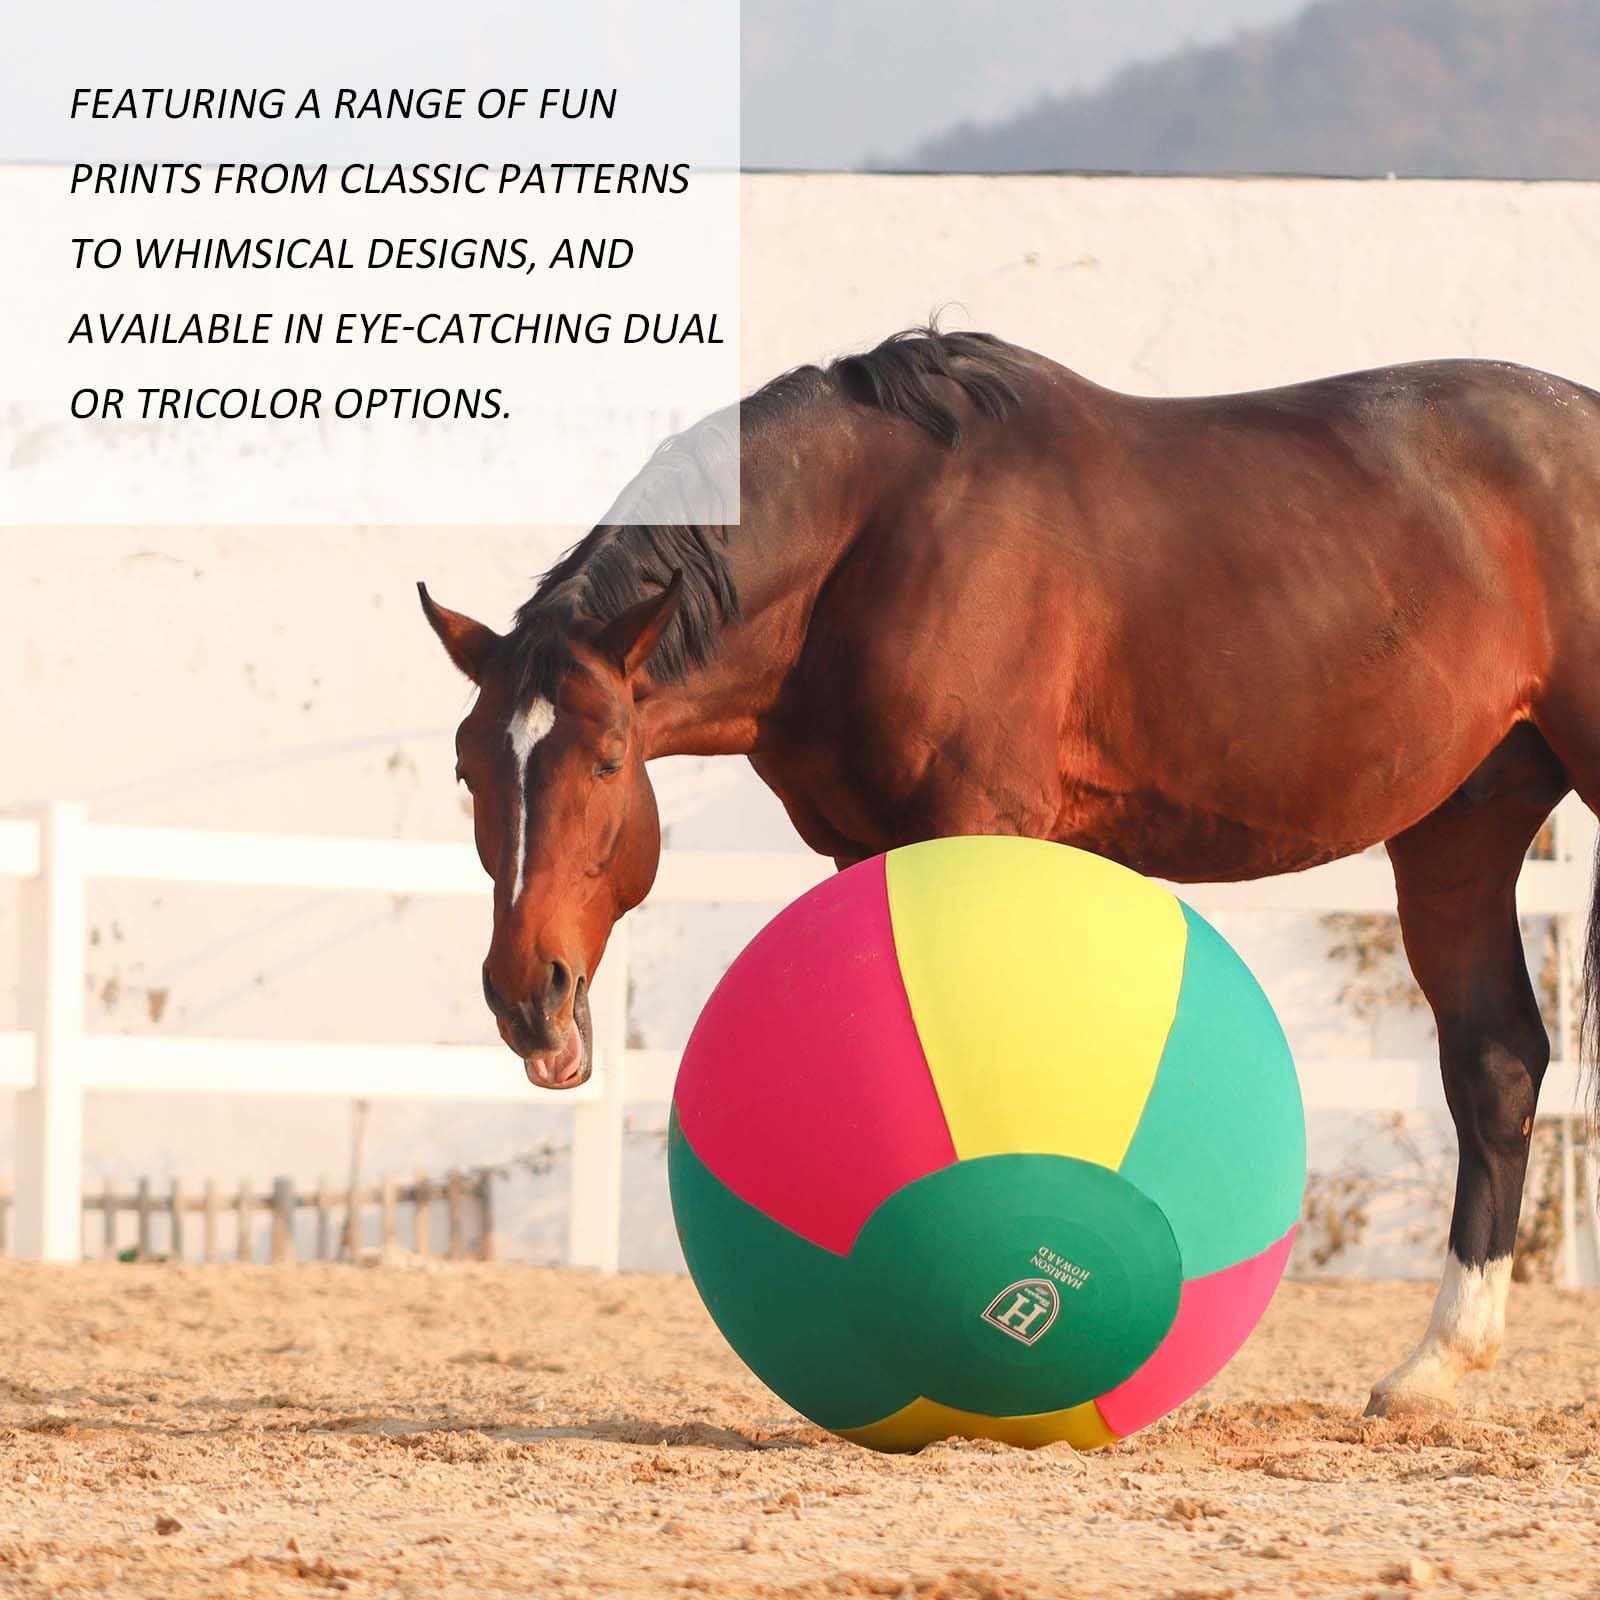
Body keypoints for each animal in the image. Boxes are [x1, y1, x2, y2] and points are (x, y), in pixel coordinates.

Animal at [420, 325, 1600, 1419]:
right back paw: (1435, 1365)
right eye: (467, 766)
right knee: (1495, 1063)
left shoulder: (977, 824)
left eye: (608, 759)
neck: (876, 539)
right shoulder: (868, 847)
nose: (528, 994)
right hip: (1459, 831)